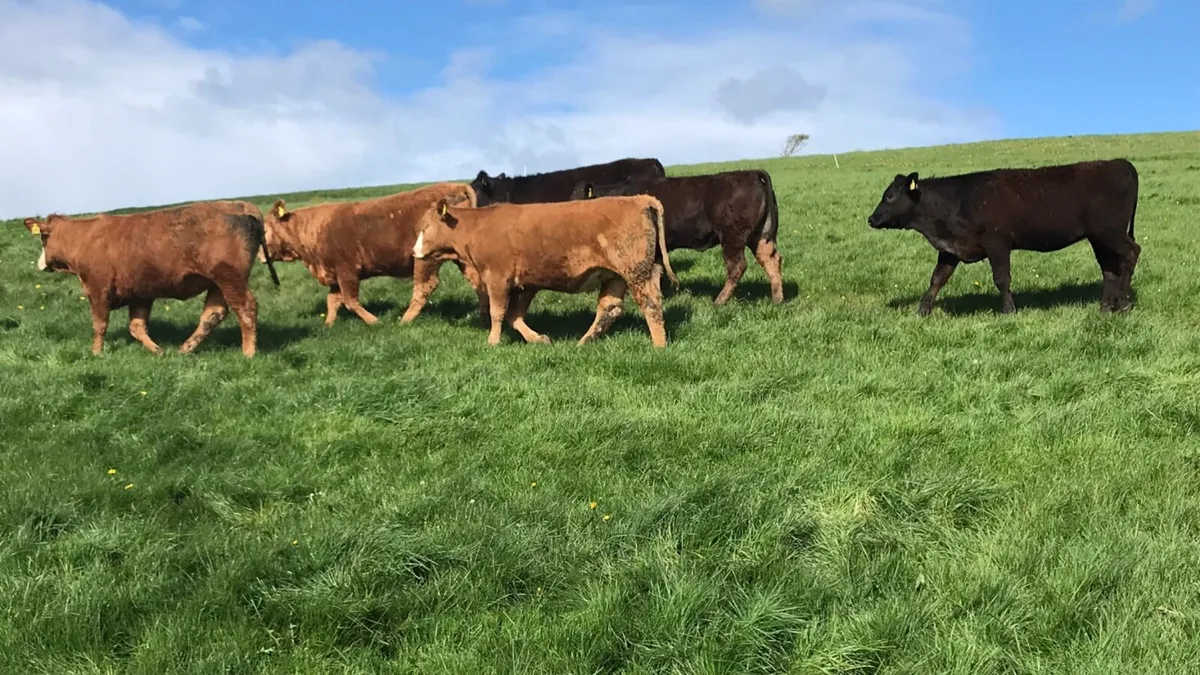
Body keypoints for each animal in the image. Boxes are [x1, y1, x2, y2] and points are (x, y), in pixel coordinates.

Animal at [22, 200, 280, 357]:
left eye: (43, 237)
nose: (40, 263)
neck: (84, 237)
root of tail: (239, 204)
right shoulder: (141, 294)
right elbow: (136, 327)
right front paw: (157, 350)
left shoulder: (98, 291)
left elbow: (100, 325)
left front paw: (96, 353)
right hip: (217, 283)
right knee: (213, 314)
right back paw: (185, 348)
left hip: (230, 278)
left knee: (246, 308)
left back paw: (248, 353)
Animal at [264, 182, 488, 326]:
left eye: (263, 229)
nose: (259, 255)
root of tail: (456, 186)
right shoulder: (334, 274)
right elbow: (332, 301)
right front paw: (328, 324)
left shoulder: (346, 271)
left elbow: (350, 300)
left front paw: (374, 321)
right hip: (461, 259)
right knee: (476, 281)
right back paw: (481, 314)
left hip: (426, 259)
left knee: (424, 287)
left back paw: (405, 320)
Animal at [411, 195, 679, 348]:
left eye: (426, 227)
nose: (414, 252)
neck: (477, 226)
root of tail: (638, 198)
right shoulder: (526, 284)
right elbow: (514, 316)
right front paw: (538, 339)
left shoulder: (497, 277)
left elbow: (498, 312)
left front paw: (493, 342)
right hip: (616, 276)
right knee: (609, 309)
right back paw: (584, 342)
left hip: (636, 272)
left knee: (650, 305)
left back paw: (659, 345)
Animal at [570, 170, 784, 305]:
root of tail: (752, 173)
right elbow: (656, 273)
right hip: (761, 236)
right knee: (772, 260)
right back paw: (777, 299)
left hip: (732, 237)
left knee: (737, 266)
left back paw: (719, 301)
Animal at [867, 159, 1141, 315]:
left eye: (890, 196)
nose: (871, 219)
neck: (958, 200)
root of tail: (1120, 162)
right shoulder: (950, 249)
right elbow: (937, 278)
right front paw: (922, 311)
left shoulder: (997, 243)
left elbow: (1001, 278)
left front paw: (1009, 311)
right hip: (1099, 237)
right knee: (1109, 269)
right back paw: (1105, 308)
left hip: (1111, 232)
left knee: (1131, 253)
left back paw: (1124, 303)